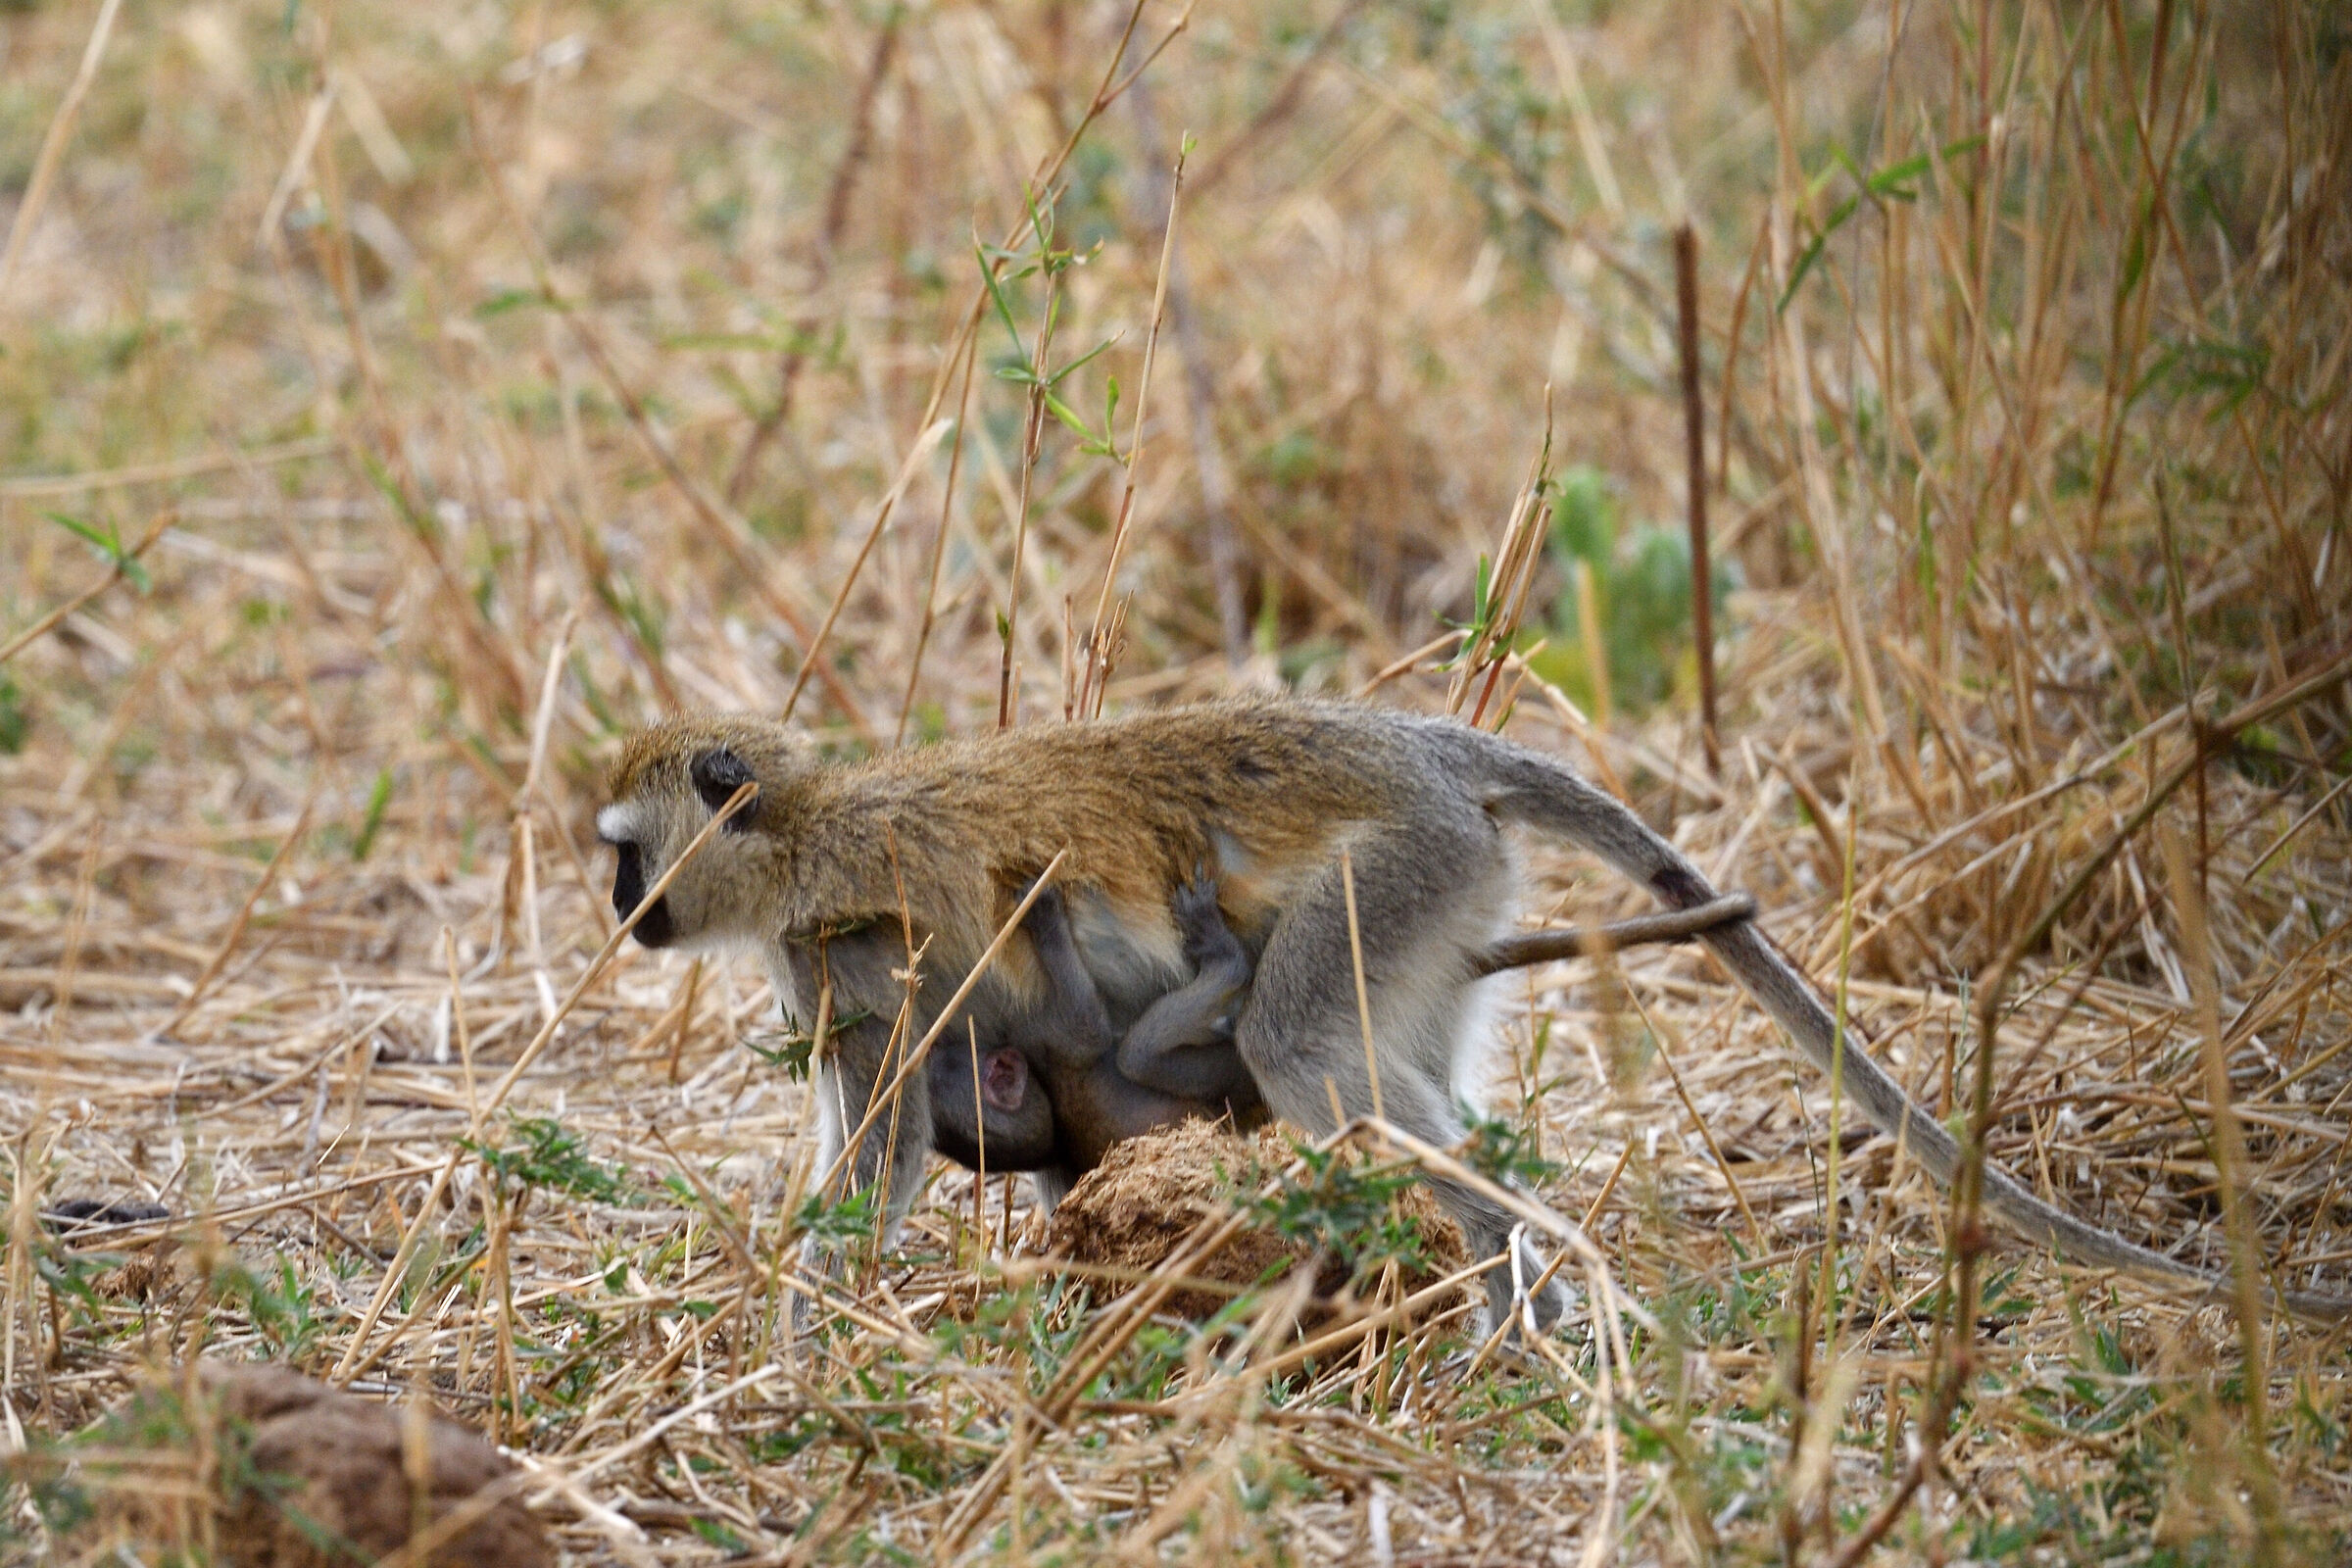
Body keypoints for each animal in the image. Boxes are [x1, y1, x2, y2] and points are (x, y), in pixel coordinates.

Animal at [597, 697, 2352, 1334]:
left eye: (623, 851)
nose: (615, 911)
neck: (807, 830)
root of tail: (1429, 749)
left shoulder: (854, 959)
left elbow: (883, 1154)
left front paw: (777, 1325)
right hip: (1441, 907)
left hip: (1395, 868)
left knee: (1304, 1049)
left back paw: (1523, 1301)